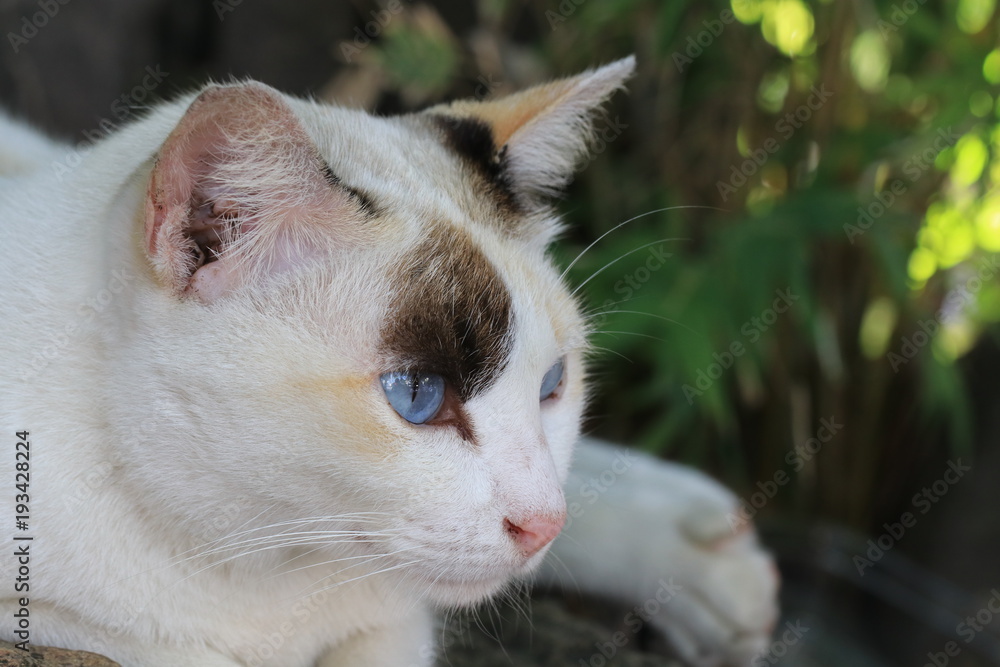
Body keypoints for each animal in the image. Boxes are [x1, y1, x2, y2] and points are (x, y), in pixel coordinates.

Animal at [0, 58, 776, 667]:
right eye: (417, 395)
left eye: (553, 385)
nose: (541, 526)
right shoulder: (51, 622)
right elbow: (157, 649)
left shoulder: (395, 626)